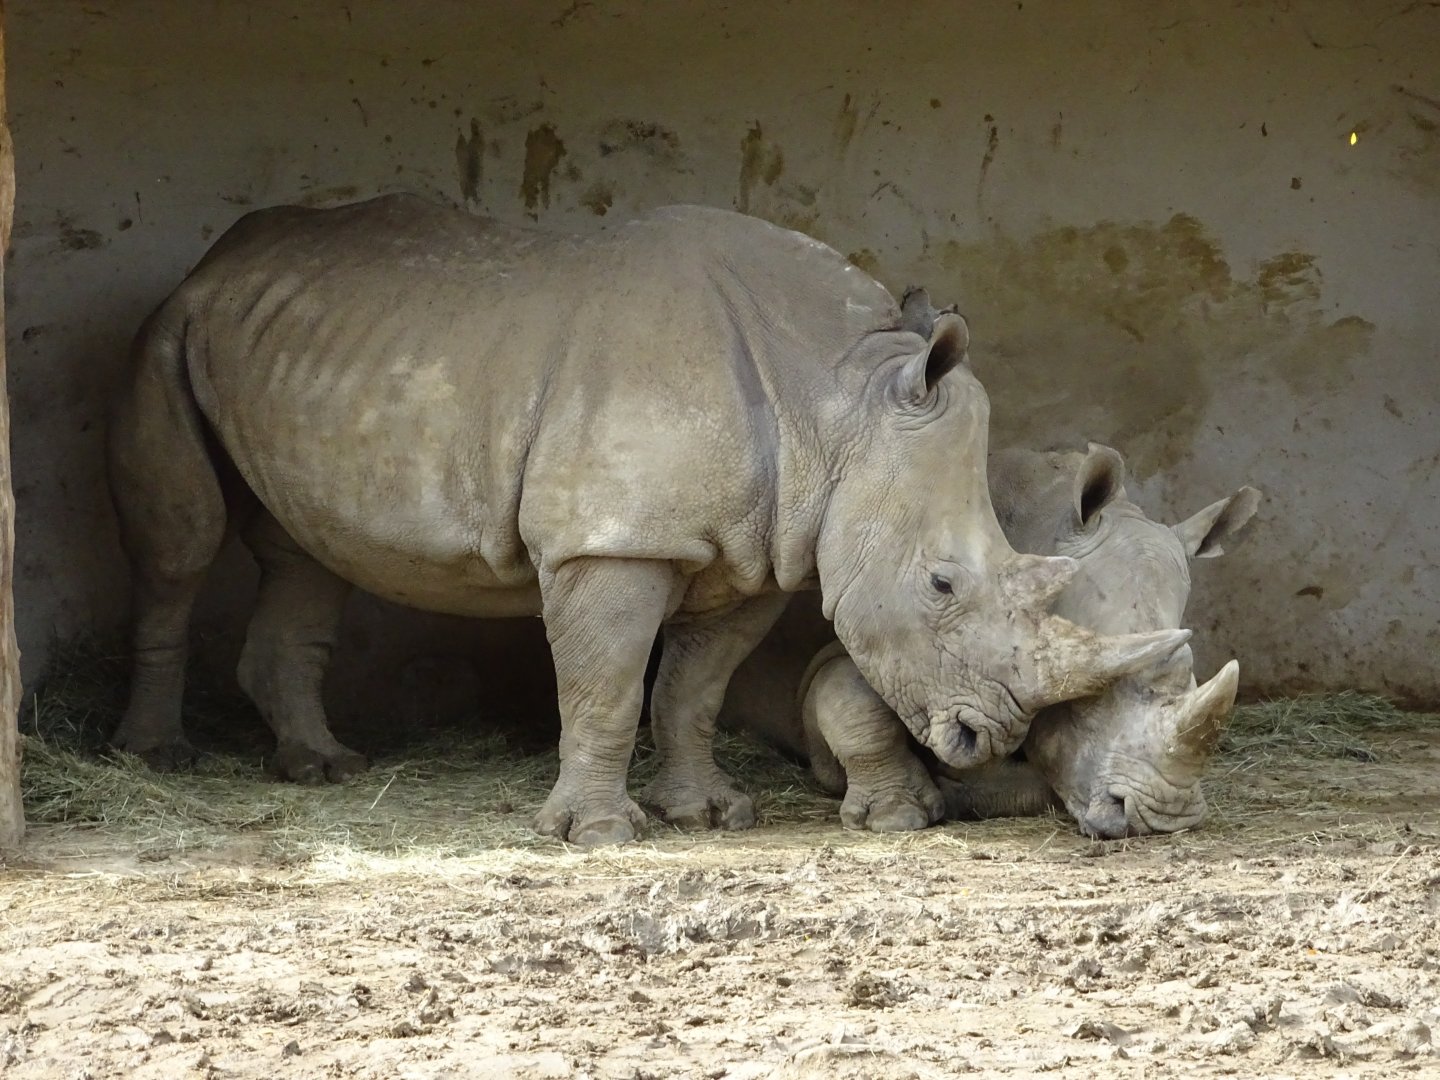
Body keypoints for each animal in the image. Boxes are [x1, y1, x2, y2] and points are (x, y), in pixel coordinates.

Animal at [107, 194, 1189, 846]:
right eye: (941, 583)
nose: (983, 738)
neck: (837, 401)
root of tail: (216, 261)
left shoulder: (759, 549)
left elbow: (692, 687)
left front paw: (709, 813)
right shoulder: (609, 540)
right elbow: (610, 684)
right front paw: (599, 836)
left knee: (304, 553)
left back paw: (323, 768)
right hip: (165, 328)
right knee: (182, 545)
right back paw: (156, 756)